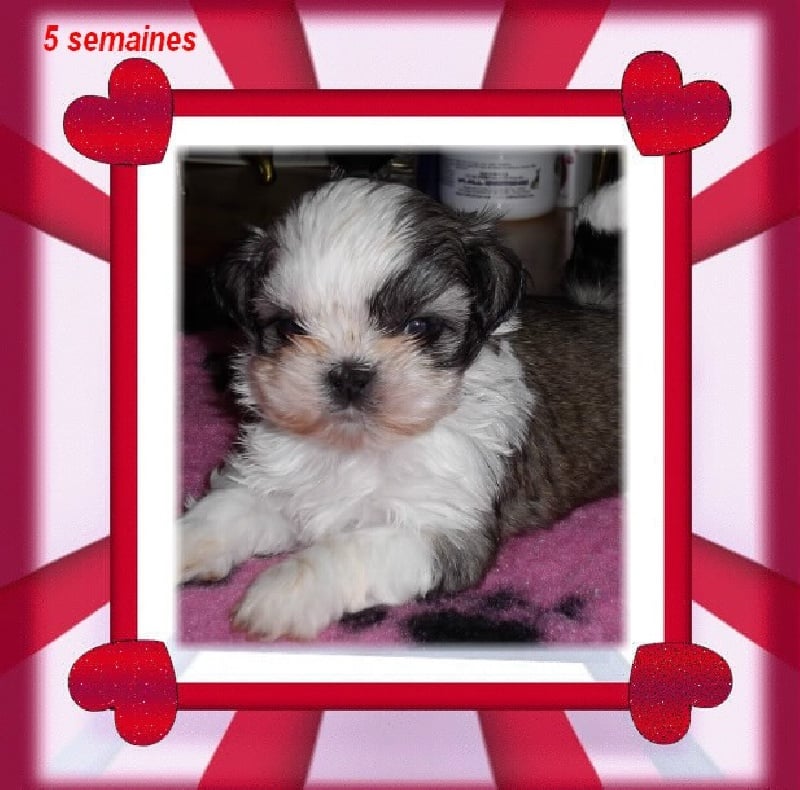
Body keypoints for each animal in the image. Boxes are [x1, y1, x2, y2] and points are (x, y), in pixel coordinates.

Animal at [179, 177, 620, 640]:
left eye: (419, 327)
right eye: (288, 328)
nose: (349, 374)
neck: (358, 447)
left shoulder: (439, 528)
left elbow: (352, 548)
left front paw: (283, 592)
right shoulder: (272, 478)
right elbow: (226, 510)